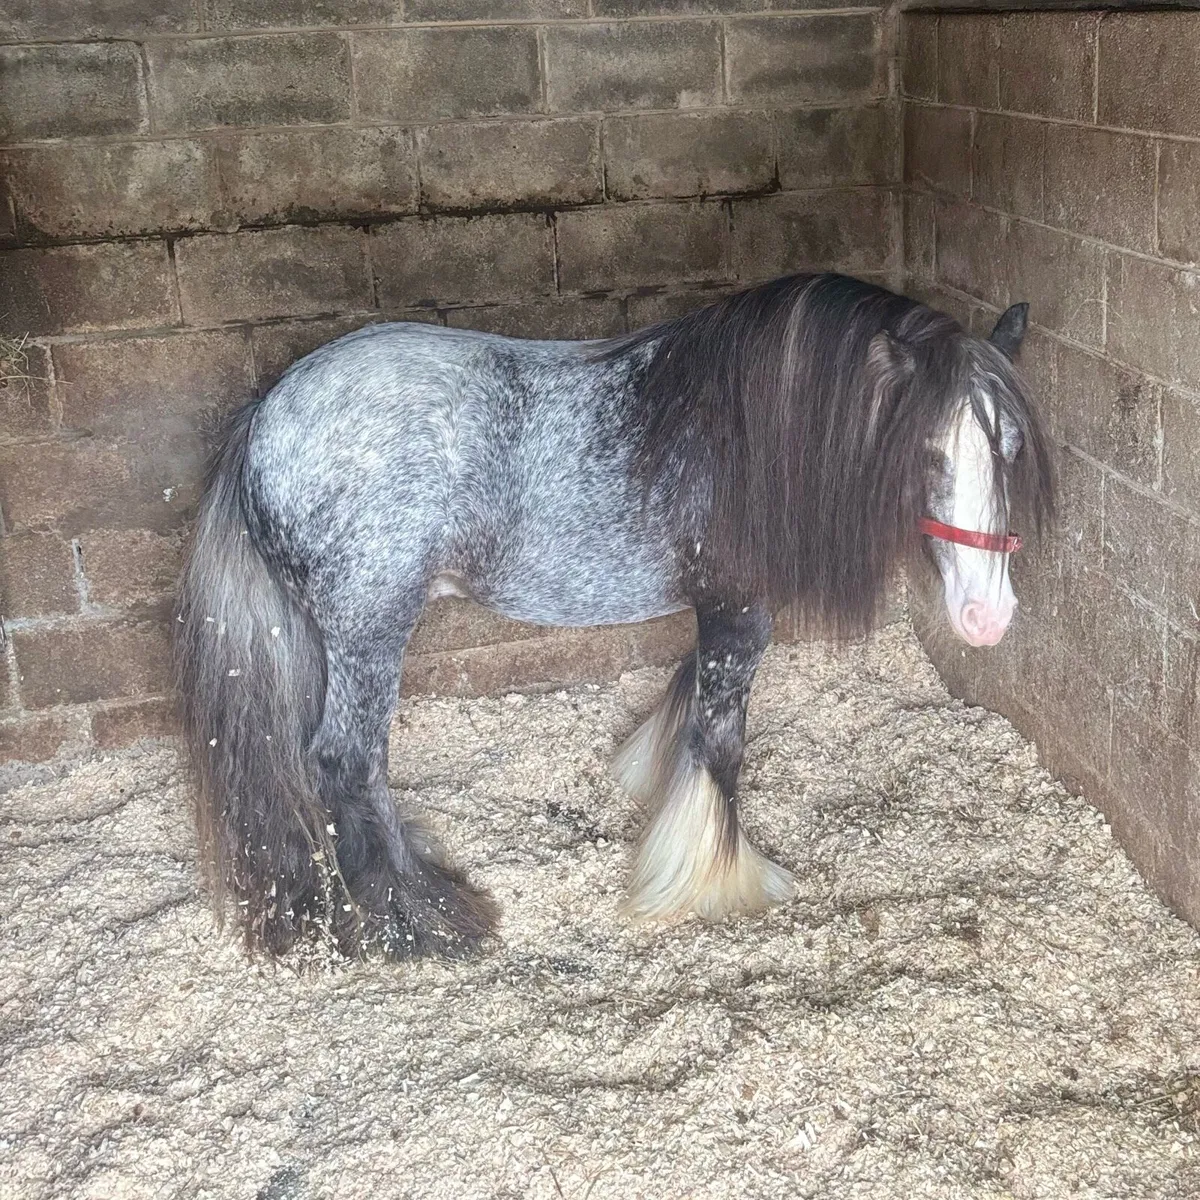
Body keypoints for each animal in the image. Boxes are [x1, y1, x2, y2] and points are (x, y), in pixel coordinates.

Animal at [174, 272, 1054, 961]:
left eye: (1009, 449)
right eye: (927, 454)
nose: (988, 615)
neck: (740, 434)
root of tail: (267, 415)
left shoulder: (715, 609)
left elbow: (689, 703)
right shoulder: (740, 611)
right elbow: (721, 744)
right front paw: (716, 880)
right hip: (371, 629)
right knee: (345, 761)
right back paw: (420, 920)